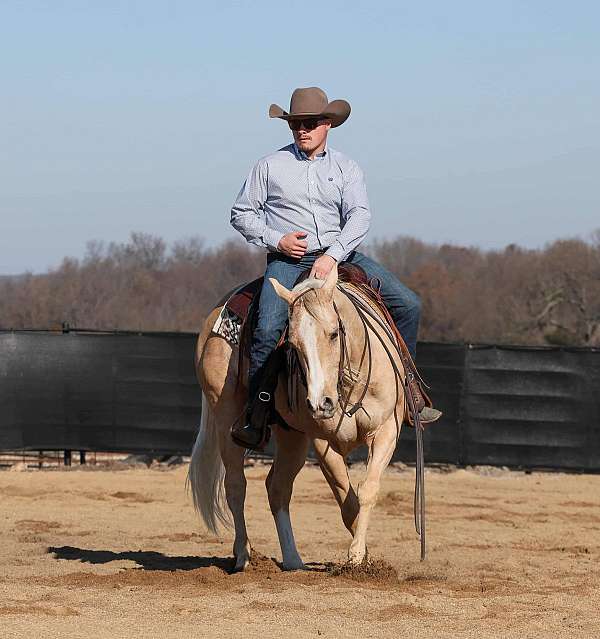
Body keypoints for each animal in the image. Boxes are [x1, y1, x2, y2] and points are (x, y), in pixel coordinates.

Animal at [188, 262, 418, 572]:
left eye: (334, 334)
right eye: (293, 344)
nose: (321, 403)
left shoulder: (386, 432)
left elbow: (367, 490)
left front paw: (360, 554)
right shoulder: (323, 442)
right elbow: (347, 501)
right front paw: (358, 557)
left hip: (291, 436)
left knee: (278, 488)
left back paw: (293, 560)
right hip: (225, 417)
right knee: (236, 486)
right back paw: (244, 555)